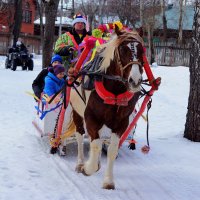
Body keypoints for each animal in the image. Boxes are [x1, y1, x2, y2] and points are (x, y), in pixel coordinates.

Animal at [68, 26, 145, 189]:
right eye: (122, 50)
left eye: (142, 50)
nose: (135, 80)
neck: (114, 90)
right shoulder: (91, 118)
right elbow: (95, 145)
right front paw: (87, 167)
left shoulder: (121, 123)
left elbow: (111, 149)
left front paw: (108, 180)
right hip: (77, 112)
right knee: (80, 136)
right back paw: (80, 163)